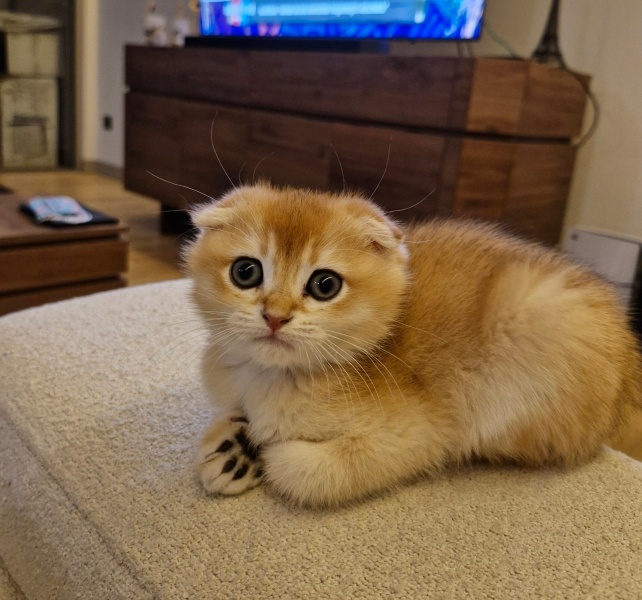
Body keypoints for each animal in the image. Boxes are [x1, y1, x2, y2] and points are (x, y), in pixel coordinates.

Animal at [185, 183, 640, 506]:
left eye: (325, 285)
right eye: (246, 272)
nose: (275, 317)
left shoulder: (419, 437)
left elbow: (304, 473)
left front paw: (262, 452)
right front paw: (235, 445)